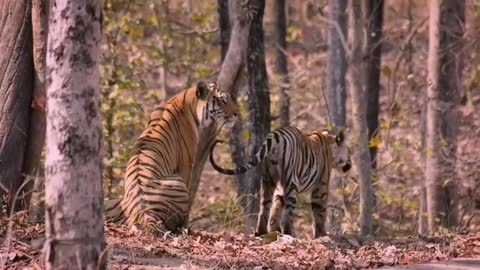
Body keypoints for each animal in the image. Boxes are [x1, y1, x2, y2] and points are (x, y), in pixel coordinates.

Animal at [208, 125, 350, 237]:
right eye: (348, 151)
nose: (350, 164)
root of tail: (276, 136)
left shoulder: (279, 187)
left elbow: (276, 208)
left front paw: (273, 230)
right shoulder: (321, 185)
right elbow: (320, 211)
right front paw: (321, 234)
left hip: (268, 180)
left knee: (264, 206)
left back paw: (261, 232)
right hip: (292, 182)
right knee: (288, 213)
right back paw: (289, 233)